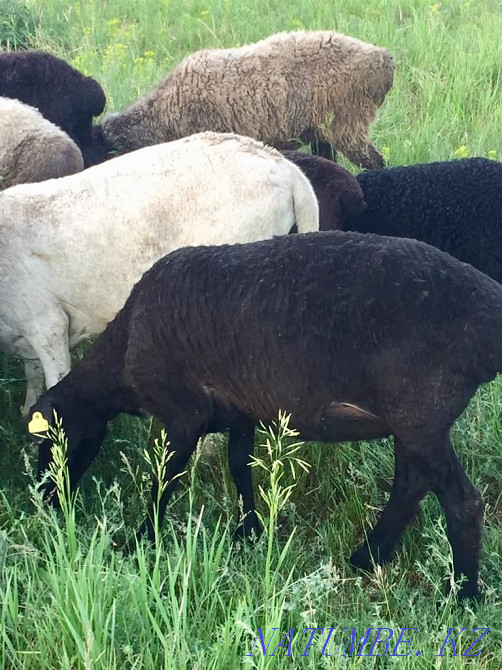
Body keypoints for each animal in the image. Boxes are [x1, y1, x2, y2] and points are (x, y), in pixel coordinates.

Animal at [27, 231, 502, 601]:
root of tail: (488, 315)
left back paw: (463, 595)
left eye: (49, 443)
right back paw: (368, 558)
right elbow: (240, 467)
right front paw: (249, 530)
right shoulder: (241, 410)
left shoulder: (184, 414)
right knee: (411, 484)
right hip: (416, 419)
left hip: (419, 411)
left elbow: (165, 480)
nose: (48, 501)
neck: (123, 353)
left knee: (461, 501)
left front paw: (142, 541)